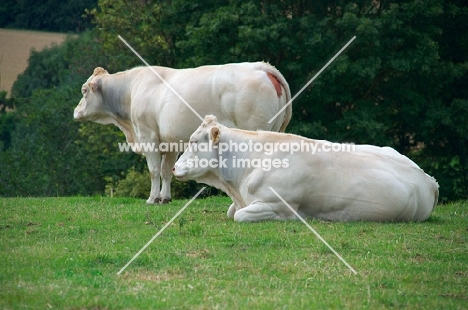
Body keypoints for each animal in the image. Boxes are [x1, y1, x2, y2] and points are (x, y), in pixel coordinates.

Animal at [72, 62, 290, 203]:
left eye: (84, 90)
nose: (76, 111)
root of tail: (261, 67)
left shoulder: (148, 136)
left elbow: (154, 170)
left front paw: (152, 198)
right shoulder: (170, 142)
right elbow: (167, 170)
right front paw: (165, 198)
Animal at [174, 115, 440, 222]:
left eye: (194, 142)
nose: (175, 167)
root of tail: (429, 179)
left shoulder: (275, 205)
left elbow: (238, 216)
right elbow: (232, 212)